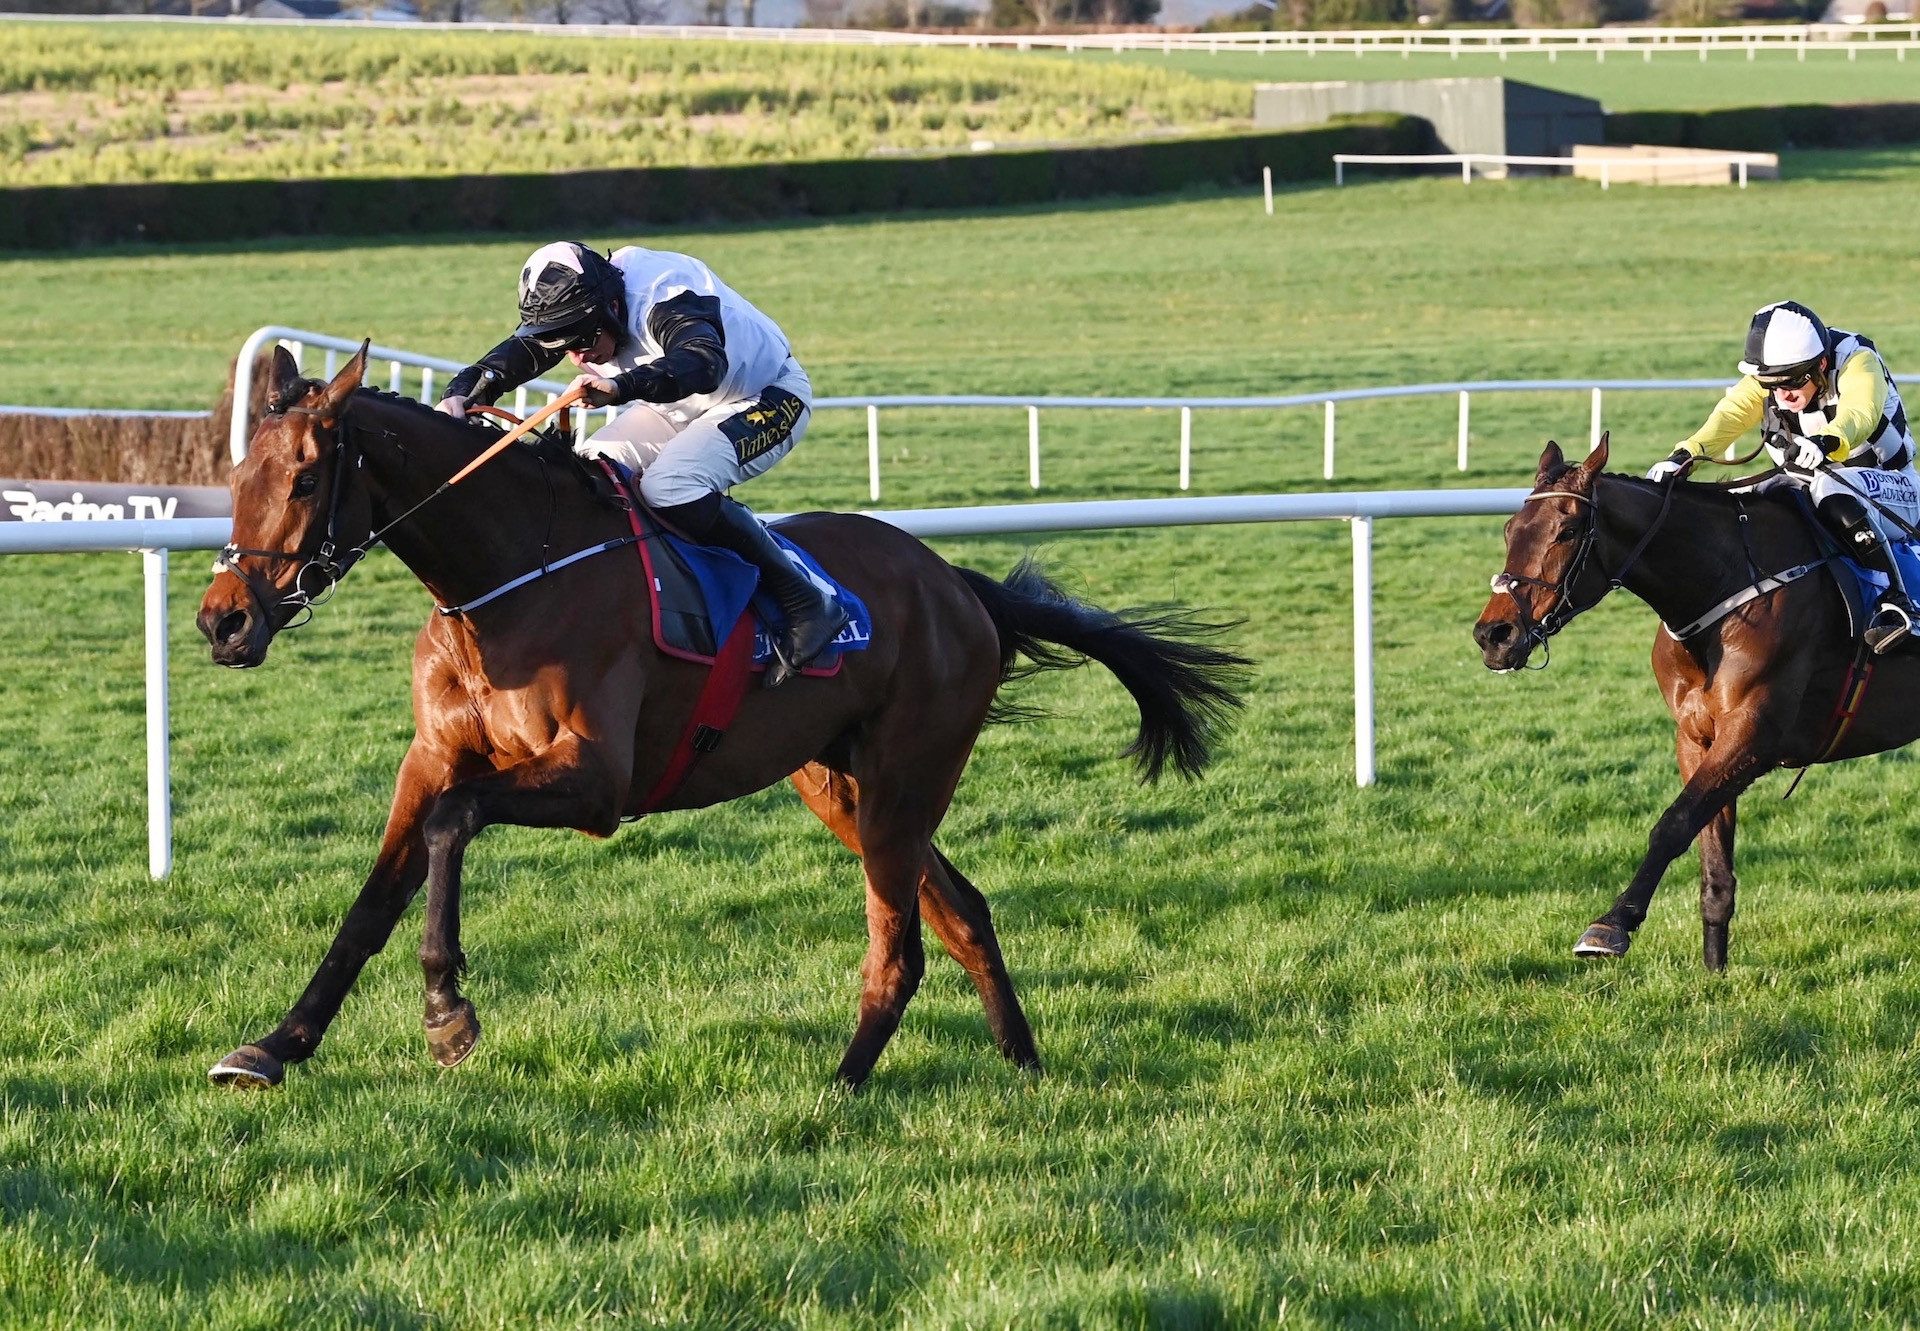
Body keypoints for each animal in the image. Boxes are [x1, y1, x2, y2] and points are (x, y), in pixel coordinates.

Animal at [194, 341, 1244, 1090]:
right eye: (237, 474)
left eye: (303, 479)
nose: (222, 619)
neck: (508, 574)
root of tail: (960, 585)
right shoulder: (432, 756)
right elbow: (372, 901)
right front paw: (275, 1044)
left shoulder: (594, 781)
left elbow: (455, 827)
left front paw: (448, 1011)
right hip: (842, 784)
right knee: (963, 911)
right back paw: (1023, 1062)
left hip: (904, 780)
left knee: (900, 943)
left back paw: (843, 1084)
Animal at [1466, 441, 1920, 971]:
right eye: (1509, 530)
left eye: (1569, 530)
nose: (1494, 636)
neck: (1726, 585)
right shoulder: (1697, 736)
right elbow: (1711, 856)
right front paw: (1714, 970)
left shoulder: (1753, 735)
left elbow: (1674, 824)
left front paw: (1611, 926)